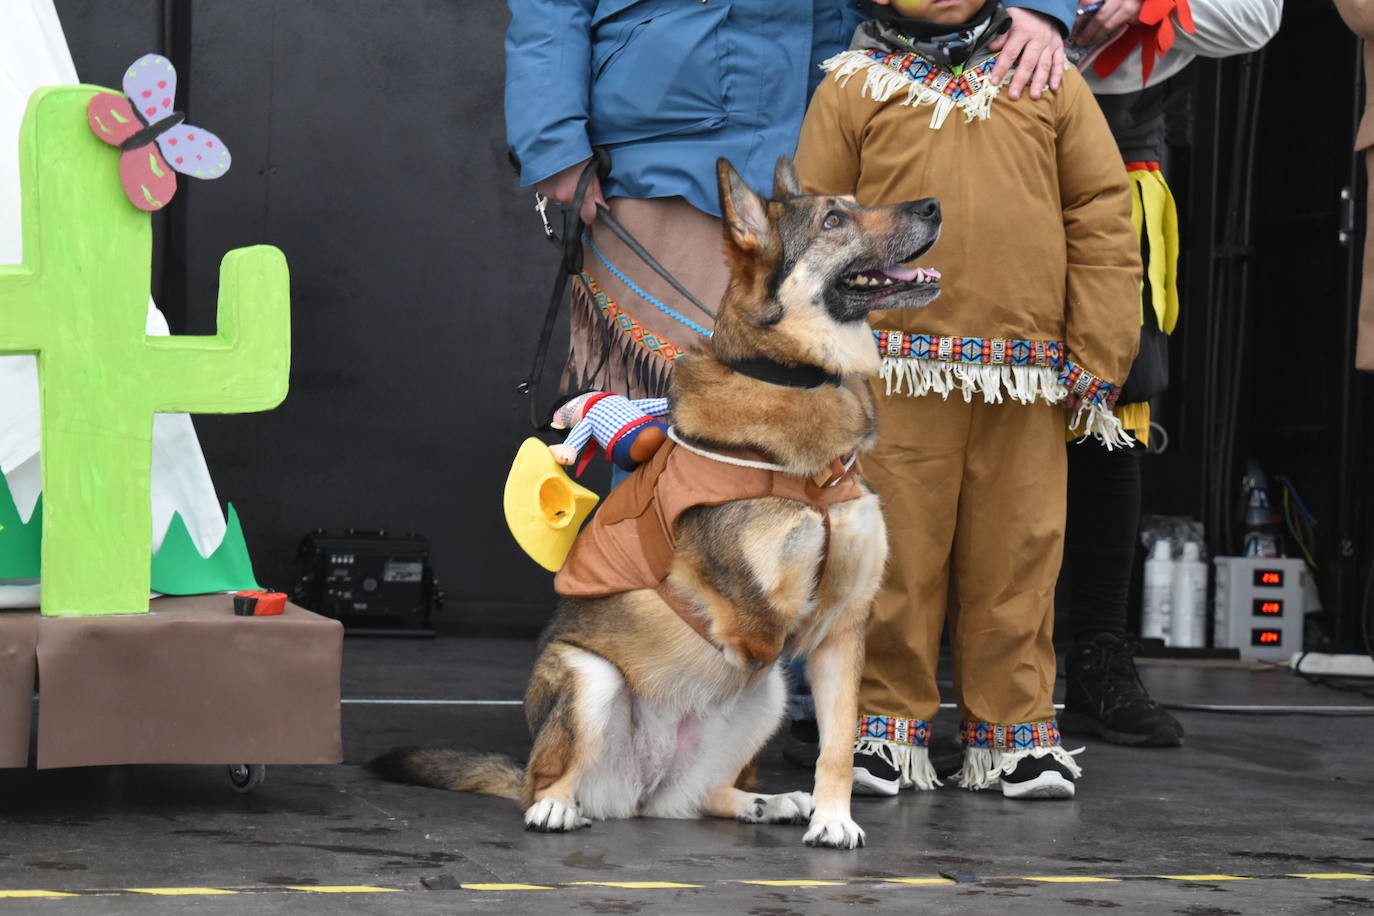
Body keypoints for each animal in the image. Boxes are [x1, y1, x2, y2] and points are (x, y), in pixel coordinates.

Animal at [370, 155, 939, 851]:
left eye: (855, 204)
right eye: (834, 220)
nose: (935, 206)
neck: (798, 380)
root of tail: (638, 787)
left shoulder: (842, 628)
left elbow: (837, 744)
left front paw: (834, 819)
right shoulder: (755, 617)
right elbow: (773, 626)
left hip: (763, 702)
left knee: (696, 799)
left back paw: (762, 801)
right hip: (590, 679)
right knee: (546, 781)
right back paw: (555, 806)